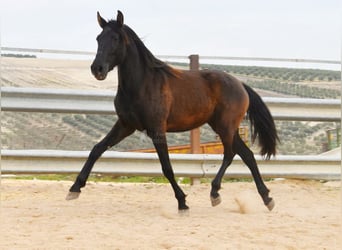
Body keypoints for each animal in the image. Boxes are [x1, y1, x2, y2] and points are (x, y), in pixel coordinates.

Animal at [66, 10, 278, 212]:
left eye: (116, 38)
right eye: (98, 38)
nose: (97, 69)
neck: (142, 84)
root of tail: (241, 85)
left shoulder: (157, 129)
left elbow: (167, 167)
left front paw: (182, 203)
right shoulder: (125, 125)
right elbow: (97, 149)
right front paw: (74, 189)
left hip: (225, 126)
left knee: (230, 153)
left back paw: (215, 193)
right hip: (223, 126)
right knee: (247, 155)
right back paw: (267, 198)